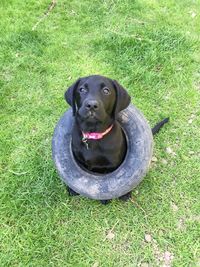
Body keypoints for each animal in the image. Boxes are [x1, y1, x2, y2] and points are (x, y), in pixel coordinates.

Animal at [65, 75, 168, 205]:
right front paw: (72, 189)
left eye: (106, 91)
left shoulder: (112, 165)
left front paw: (106, 198)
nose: (91, 105)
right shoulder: (80, 160)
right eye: (82, 89)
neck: (94, 135)